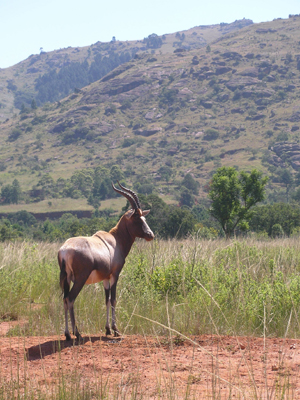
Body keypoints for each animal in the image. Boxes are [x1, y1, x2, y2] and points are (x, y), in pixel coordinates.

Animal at [58, 181, 155, 340]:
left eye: (144, 218)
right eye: (136, 218)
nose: (150, 235)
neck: (114, 240)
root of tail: (64, 250)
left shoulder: (105, 278)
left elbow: (107, 300)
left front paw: (108, 329)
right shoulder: (115, 275)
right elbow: (114, 299)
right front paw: (116, 330)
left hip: (66, 279)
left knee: (65, 299)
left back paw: (67, 334)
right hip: (79, 279)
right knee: (71, 299)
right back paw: (77, 333)